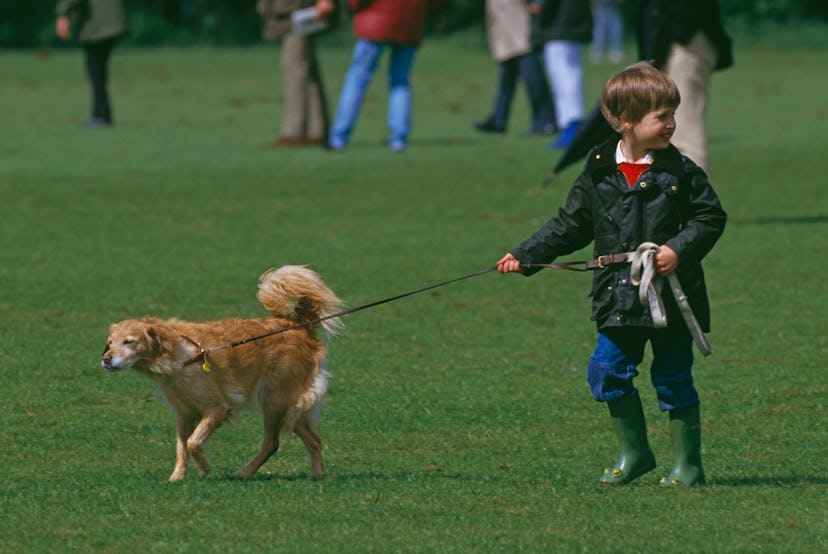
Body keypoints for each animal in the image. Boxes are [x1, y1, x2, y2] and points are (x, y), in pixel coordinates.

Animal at [102, 264, 342, 478]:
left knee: (271, 443)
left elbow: (192, 442)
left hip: (275, 401)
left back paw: (245, 473)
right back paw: (316, 474)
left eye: (129, 342)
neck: (180, 355)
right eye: (110, 343)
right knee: (313, 440)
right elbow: (181, 446)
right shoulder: (184, 413)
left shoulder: (217, 408)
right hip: (290, 408)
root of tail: (298, 325)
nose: (105, 360)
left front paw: (204, 467)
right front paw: (177, 477)